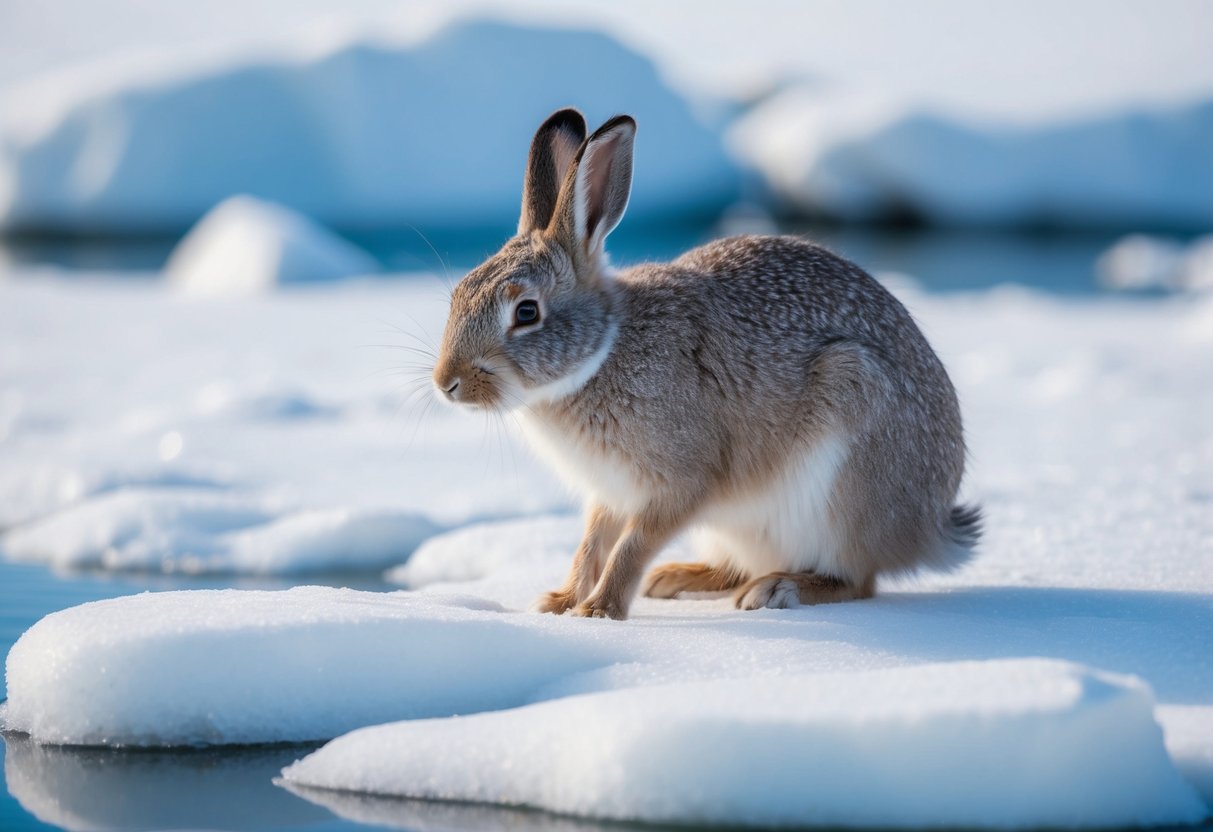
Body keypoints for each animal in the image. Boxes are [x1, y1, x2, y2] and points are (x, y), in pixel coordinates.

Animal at [432, 108, 980, 620]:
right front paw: (559, 602)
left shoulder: (679, 482)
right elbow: (591, 546)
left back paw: (776, 589)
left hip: (845, 457)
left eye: (526, 312)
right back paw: (678, 578)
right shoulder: (609, 494)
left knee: (857, 580)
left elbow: (631, 547)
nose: (446, 383)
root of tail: (930, 528)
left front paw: (599, 610)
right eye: (458, 294)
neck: (601, 354)